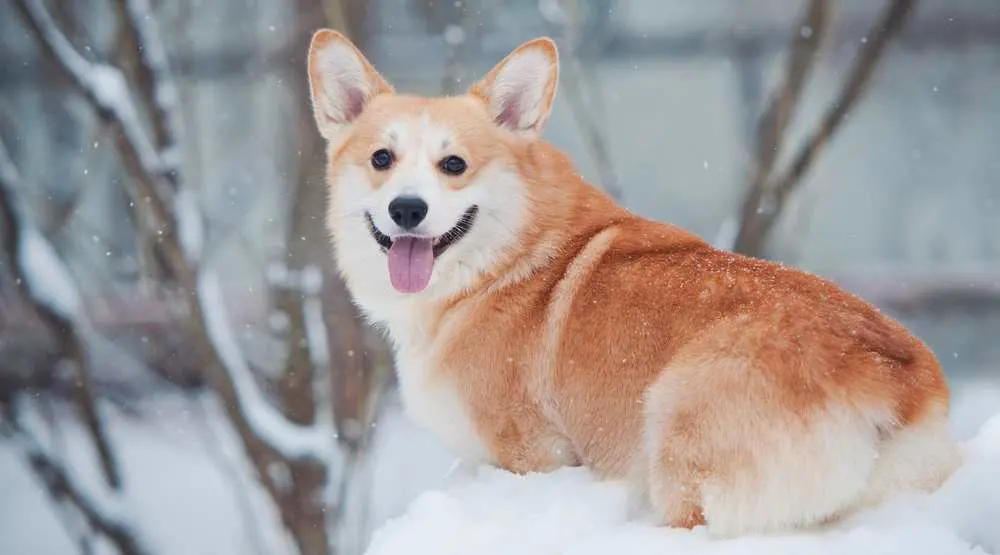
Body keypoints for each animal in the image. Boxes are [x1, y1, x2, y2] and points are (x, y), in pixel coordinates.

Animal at [304, 30, 960, 540]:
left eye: (454, 165)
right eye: (382, 159)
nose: (407, 210)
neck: (505, 260)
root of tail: (892, 379)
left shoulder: (533, 455)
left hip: (678, 426)